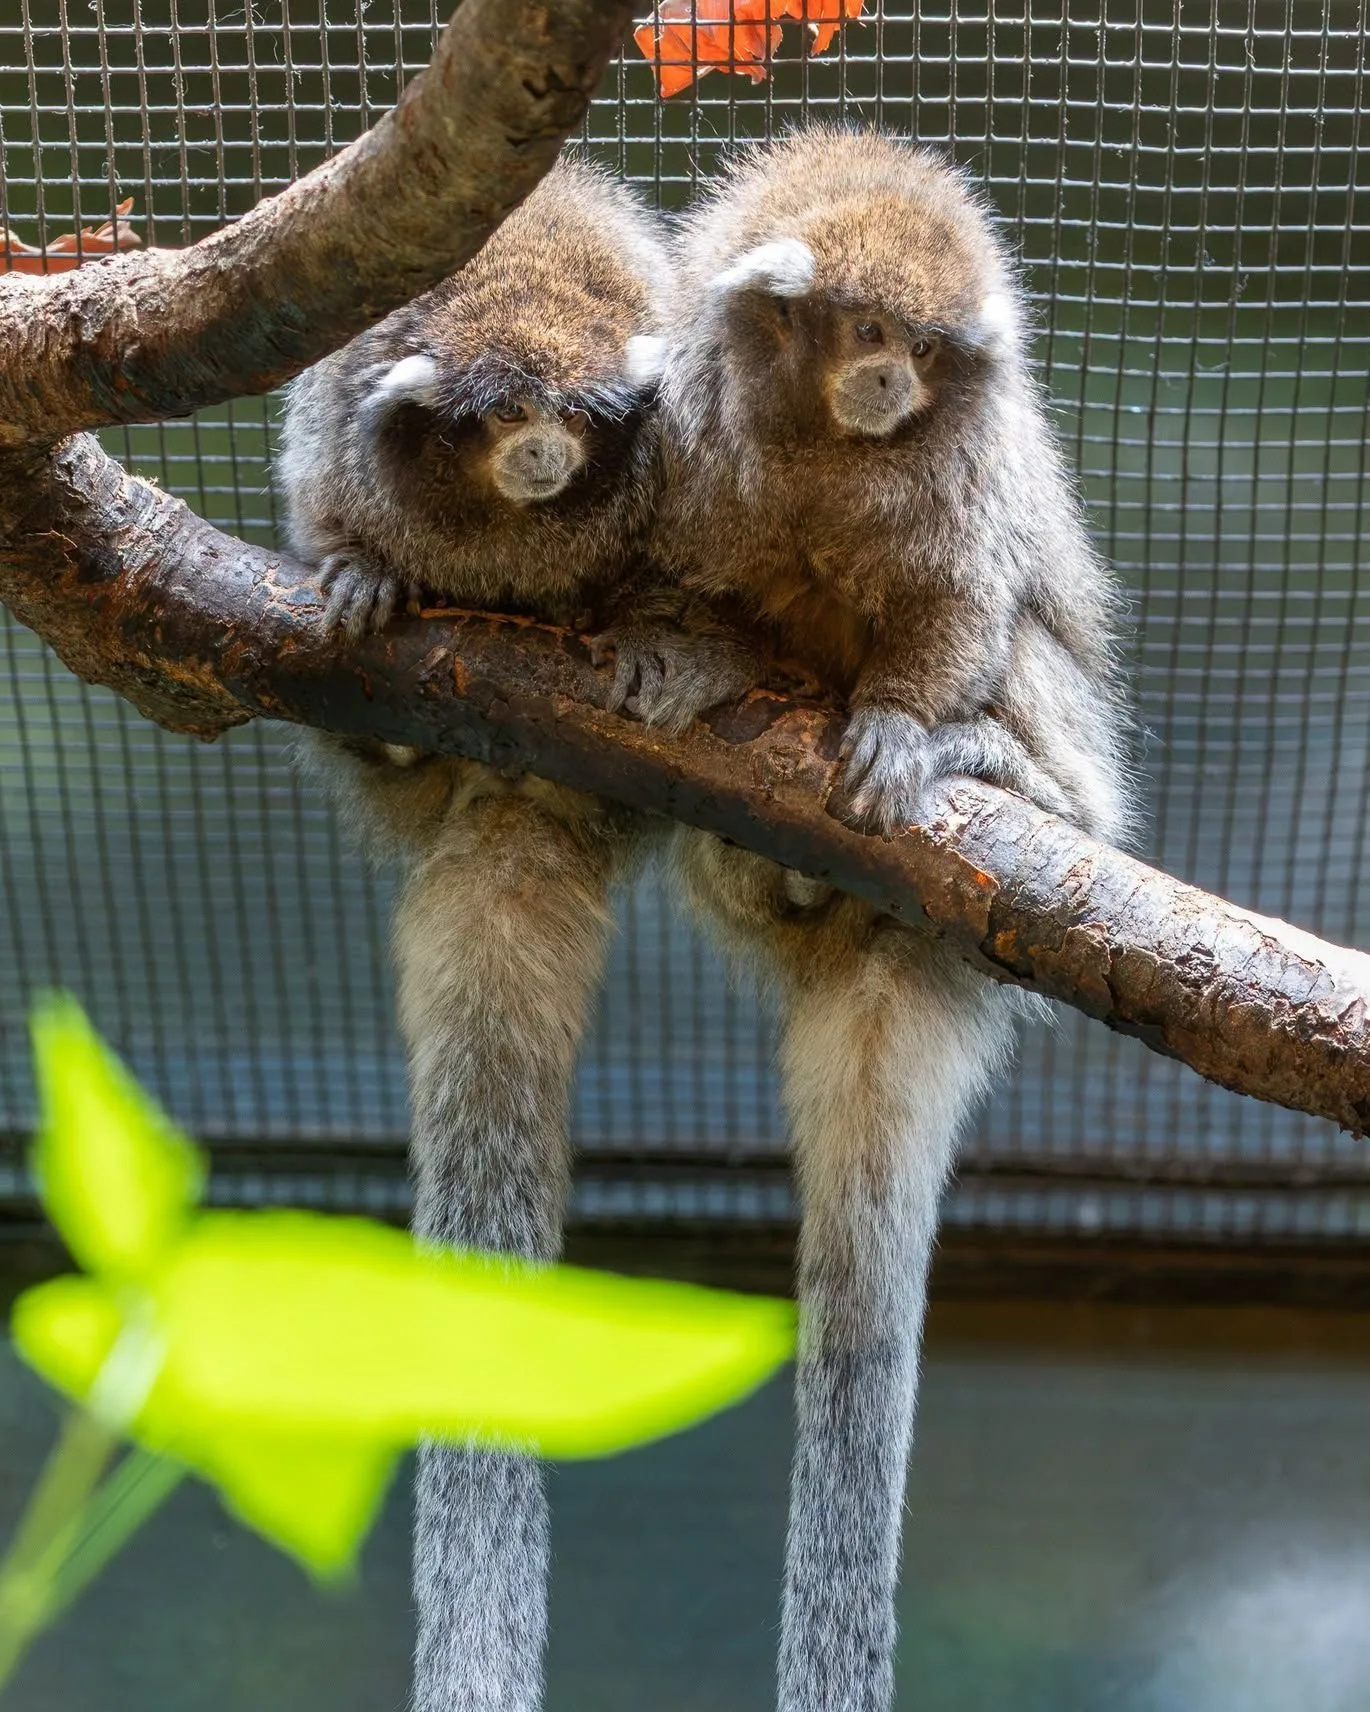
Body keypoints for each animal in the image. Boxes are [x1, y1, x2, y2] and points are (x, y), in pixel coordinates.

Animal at [275, 156, 673, 1712]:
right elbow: (329, 486)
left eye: (577, 422)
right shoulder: (342, 409)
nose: (545, 460)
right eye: (501, 421)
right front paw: (356, 573)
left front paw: (636, 622)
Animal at [596, 127, 1132, 1712]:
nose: (893, 380)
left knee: (1030, 664)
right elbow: (676, 579)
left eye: (926, 349)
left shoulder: (959, 468)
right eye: (862, 332)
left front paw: (908, 723)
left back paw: (1008, 774)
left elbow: (965, 601)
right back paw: (775, 868)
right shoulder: (684, 435)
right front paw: (694, 653)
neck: (828, 448)